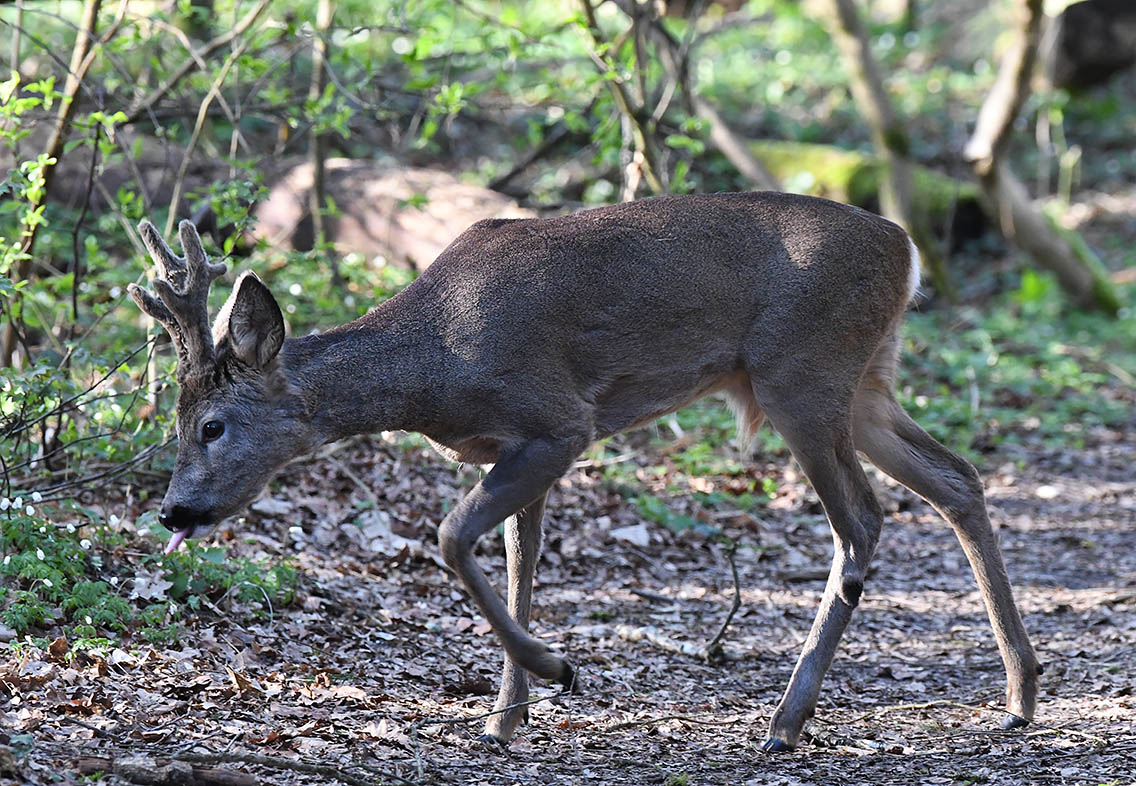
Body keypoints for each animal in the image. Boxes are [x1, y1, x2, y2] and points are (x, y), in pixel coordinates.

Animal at [126, 193, 1040, 754]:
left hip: (802, 374)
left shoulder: (561, 420)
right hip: (866, 382)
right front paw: (503, 717)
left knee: (863, 520)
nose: (173, 511)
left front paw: (553, 671)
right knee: (958, 478)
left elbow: (451, 536)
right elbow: (518, 560)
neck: (434, 365)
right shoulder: (515, 444)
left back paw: (785, 721)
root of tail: (909, 248)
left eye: (211, 425)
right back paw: (1020, 694)